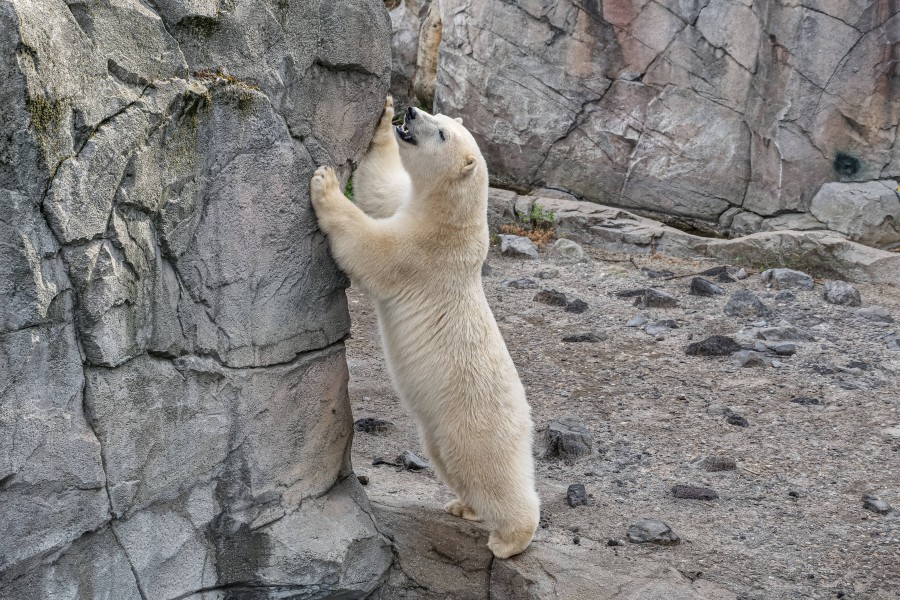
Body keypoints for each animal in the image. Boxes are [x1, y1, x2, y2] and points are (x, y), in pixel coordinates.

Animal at [310, 96, 536, 560]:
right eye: (443, 116)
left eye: (443, 132)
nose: (413, 112)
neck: (455, 221)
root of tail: (526, 421)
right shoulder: (407, 206)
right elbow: (381, 187)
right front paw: (384, 117)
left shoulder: (421, 254)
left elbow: (371, 248)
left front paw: (325, 183)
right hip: (438, 428)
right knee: (449, 463)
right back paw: (463, 507)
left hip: (476, 423)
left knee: (489, 473)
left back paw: (509, 540)